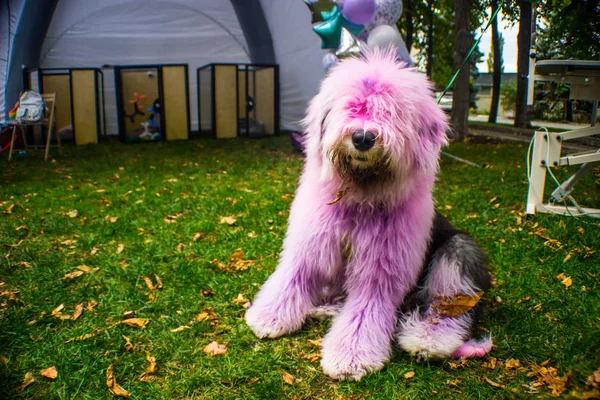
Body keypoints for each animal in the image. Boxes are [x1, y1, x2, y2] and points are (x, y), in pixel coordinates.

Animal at [245, 50, 492, 382]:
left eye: (390, 112)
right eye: (351, 107)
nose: (363, 137)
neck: (360, 198)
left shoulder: (379, 271)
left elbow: (362, 314)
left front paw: (351, 358)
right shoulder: (310, 246)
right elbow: (290, 279)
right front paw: (269, 317)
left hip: (458, 253)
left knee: (446, 306)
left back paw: (427, 341)